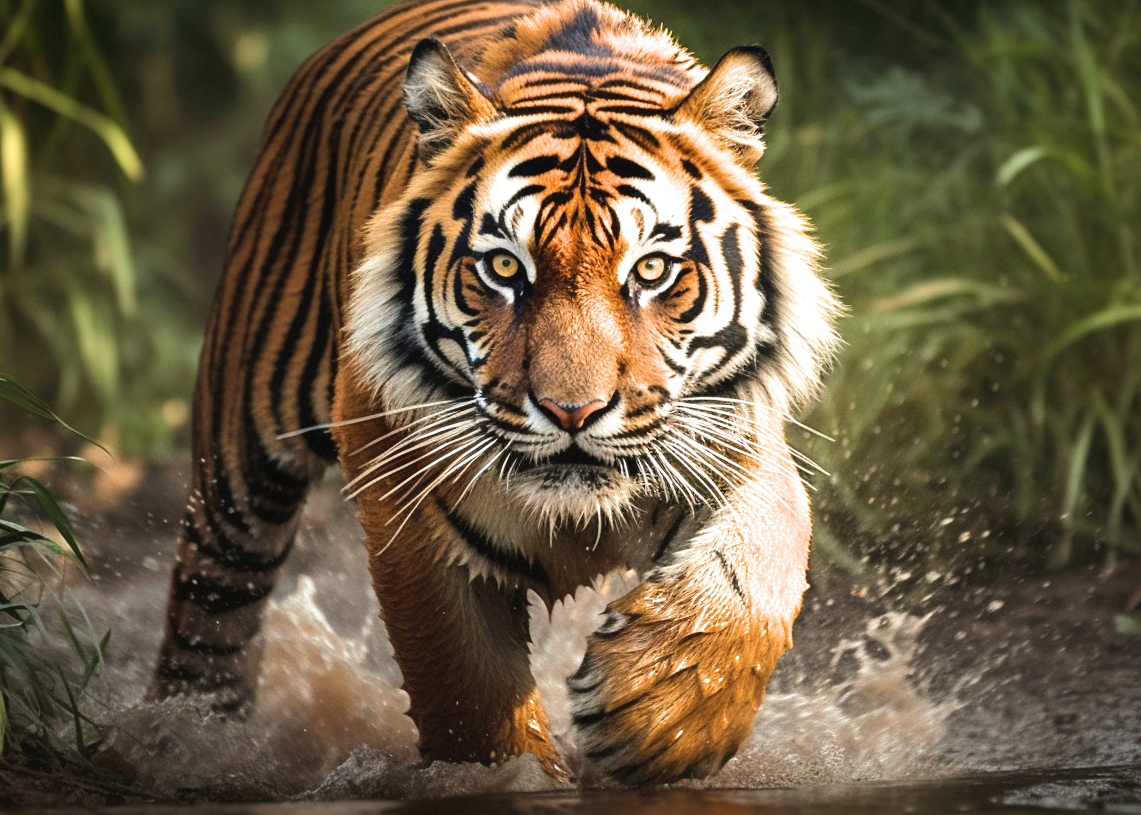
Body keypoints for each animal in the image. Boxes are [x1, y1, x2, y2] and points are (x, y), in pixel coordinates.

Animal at [148, 0, 840, 786]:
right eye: (505, 267)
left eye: (652, 269)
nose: (573, 412)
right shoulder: (407, 499)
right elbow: (465, 682)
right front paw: (512, 777)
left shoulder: (735, 434)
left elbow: (759, 563)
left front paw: (659, 710)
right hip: (241, 469)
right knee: (209, 610)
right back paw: (188, 743)